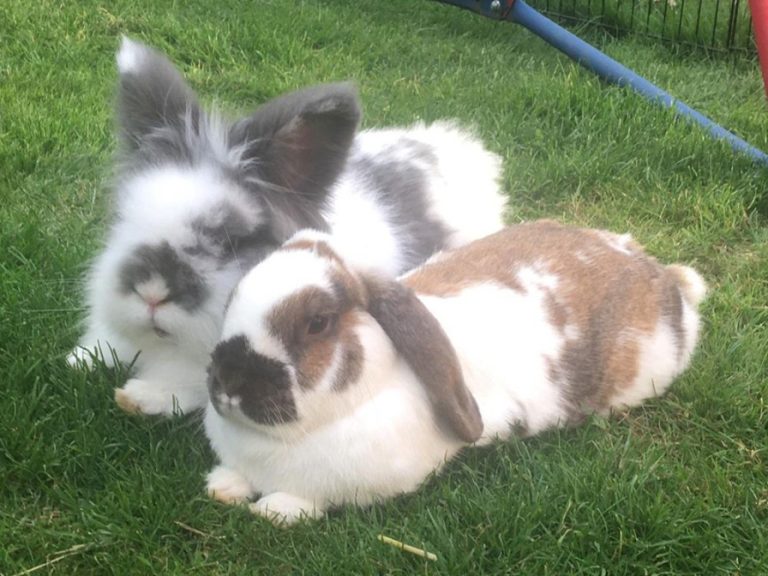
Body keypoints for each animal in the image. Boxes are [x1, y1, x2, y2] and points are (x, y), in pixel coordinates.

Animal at [203, 220, 707, 525]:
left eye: (316, 323)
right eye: (232, 298)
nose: (227, 382)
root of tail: (663, 277)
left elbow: (305, 500)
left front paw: (274, 509)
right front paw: (222, 486)